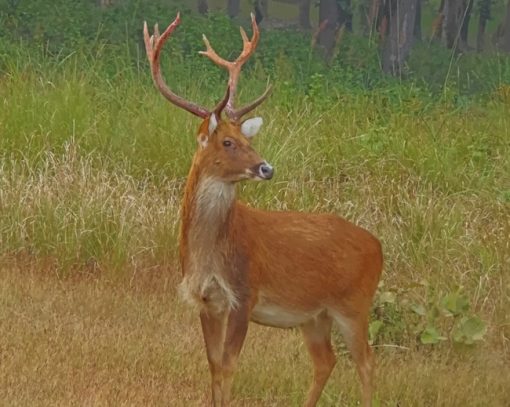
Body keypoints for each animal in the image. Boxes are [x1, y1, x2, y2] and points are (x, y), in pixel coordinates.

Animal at [143, 12, 382, 407]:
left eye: (248, 139)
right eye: (228, 142)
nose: (266, 168)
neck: (211, 253)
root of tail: (379, 246)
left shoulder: (245, 293)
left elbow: (228, 366)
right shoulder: (207, 300)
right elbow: (213, 365)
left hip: (355, 303)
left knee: (366, 363)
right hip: (314, 315)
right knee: (326, 360)